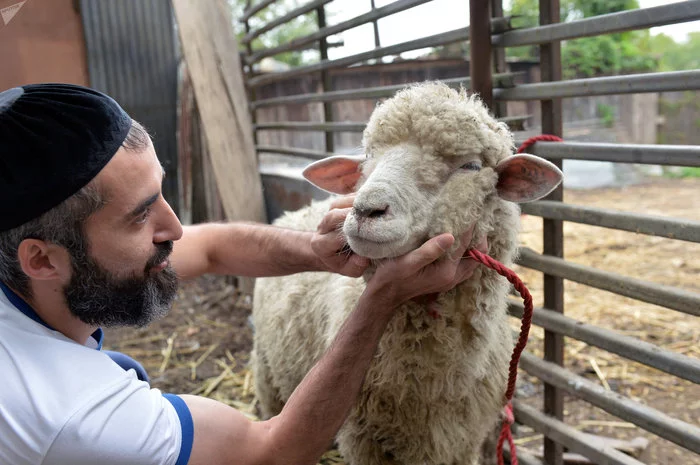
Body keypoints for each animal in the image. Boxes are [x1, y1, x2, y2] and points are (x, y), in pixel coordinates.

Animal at [252, 82, 564, 464]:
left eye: (471, 166)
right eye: (368, 157)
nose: (365, 210)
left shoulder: (462, 439)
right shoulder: (363, 440)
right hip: (267, 374)